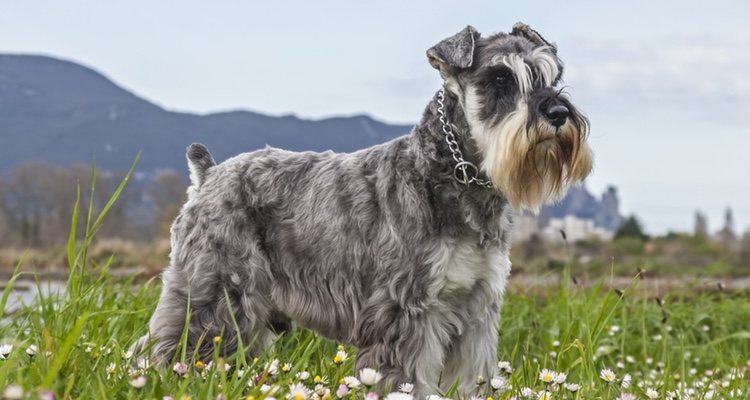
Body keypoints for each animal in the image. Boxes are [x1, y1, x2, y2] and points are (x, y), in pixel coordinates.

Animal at [134, 23, 592, 398]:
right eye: (499, 78)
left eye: (553, 76)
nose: (558, 113)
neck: (456, 178)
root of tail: (209, 175)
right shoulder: (406, 311)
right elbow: (408, 380)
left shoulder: (476, 313)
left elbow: (468, 380)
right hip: (212, 295)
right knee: (166, 345)